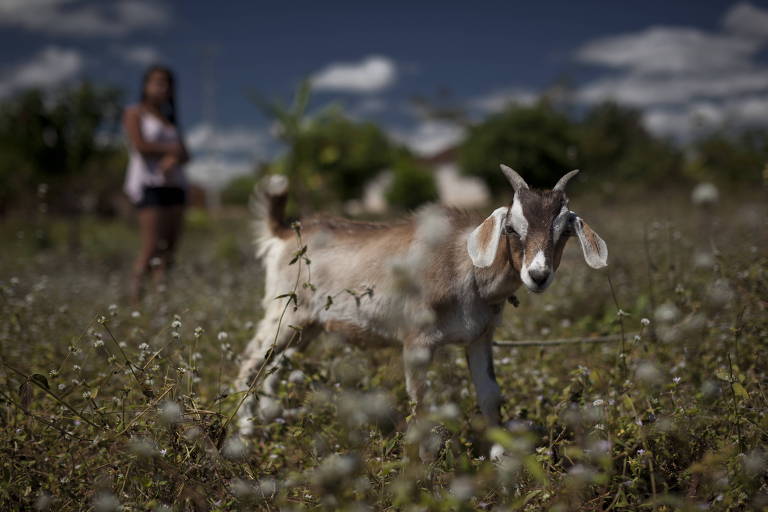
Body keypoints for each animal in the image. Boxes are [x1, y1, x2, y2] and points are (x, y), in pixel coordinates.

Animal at [237, 164, 608, 440]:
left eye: (564, 232)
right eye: (512, 229)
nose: (538, 275)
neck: (464, 265)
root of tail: (285, 232)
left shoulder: (480, 337)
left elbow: (490, 396)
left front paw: (499, 458)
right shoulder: (416, 341)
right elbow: (421, 403)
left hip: (308, 326)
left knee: (277, 364)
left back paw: (270, 419)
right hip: (284, 314)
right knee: (253, 359)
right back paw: (245, 432)